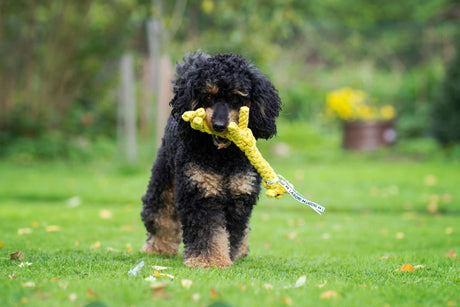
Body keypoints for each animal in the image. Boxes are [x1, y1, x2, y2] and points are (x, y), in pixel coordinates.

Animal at [142, 51, 282, 268]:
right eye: (208, 96)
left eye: (236, 97)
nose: (218, 125)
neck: (222, 157)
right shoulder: (199, 190)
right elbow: (207, 231)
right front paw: (209, 261)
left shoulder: (239, 196)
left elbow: (233, 232)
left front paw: (226, 256)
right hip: (163, 179)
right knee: (159, 214)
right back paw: (158, 248)